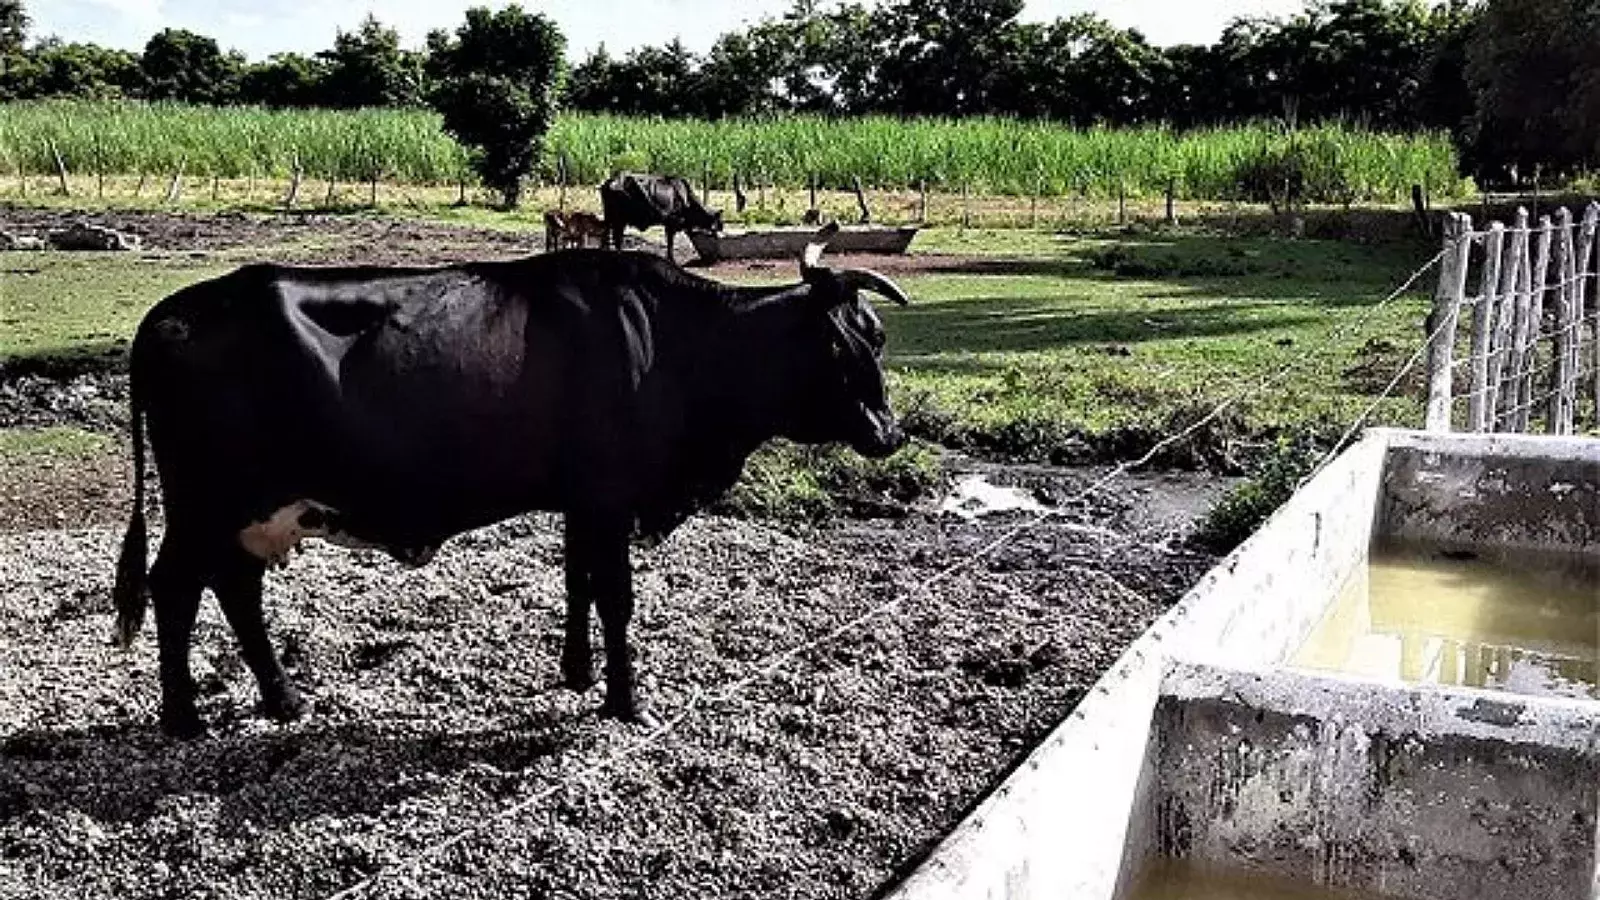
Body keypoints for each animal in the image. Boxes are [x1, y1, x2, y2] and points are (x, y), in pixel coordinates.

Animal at [109, 227, 915, 739]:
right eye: (838, 344)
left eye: (877, 336)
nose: (889, 432)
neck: (673, 344)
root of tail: (172, 313)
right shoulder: (608, 498)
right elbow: (615, 598)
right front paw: (625, 701)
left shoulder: (583, 502)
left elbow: (577, 580)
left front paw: (578, 673)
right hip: (205, 502)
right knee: (176, 588)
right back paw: (184, 718)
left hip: (249, 509)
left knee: (234, 589)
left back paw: (284, 699)